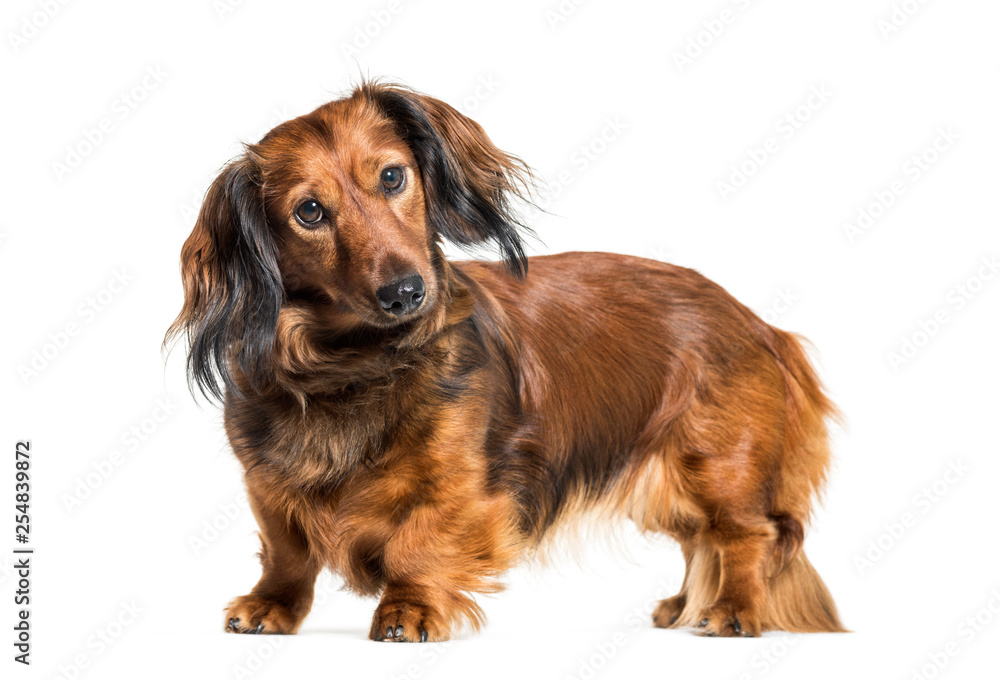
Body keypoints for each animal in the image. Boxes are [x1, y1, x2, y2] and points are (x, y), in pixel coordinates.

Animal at [166, 82, 844, 640]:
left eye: (392, 177)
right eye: (309, 211)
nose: (406, 292)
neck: (357, 367)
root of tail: (760, 324)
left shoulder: (460, 482)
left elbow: (419, 541)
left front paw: (410, 608)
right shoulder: (266, 483)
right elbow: (287, 550)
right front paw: (271, 605)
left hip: (717, 467)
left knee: (746, 536)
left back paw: (733, 609)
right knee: (700, 541)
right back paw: (684, 605)